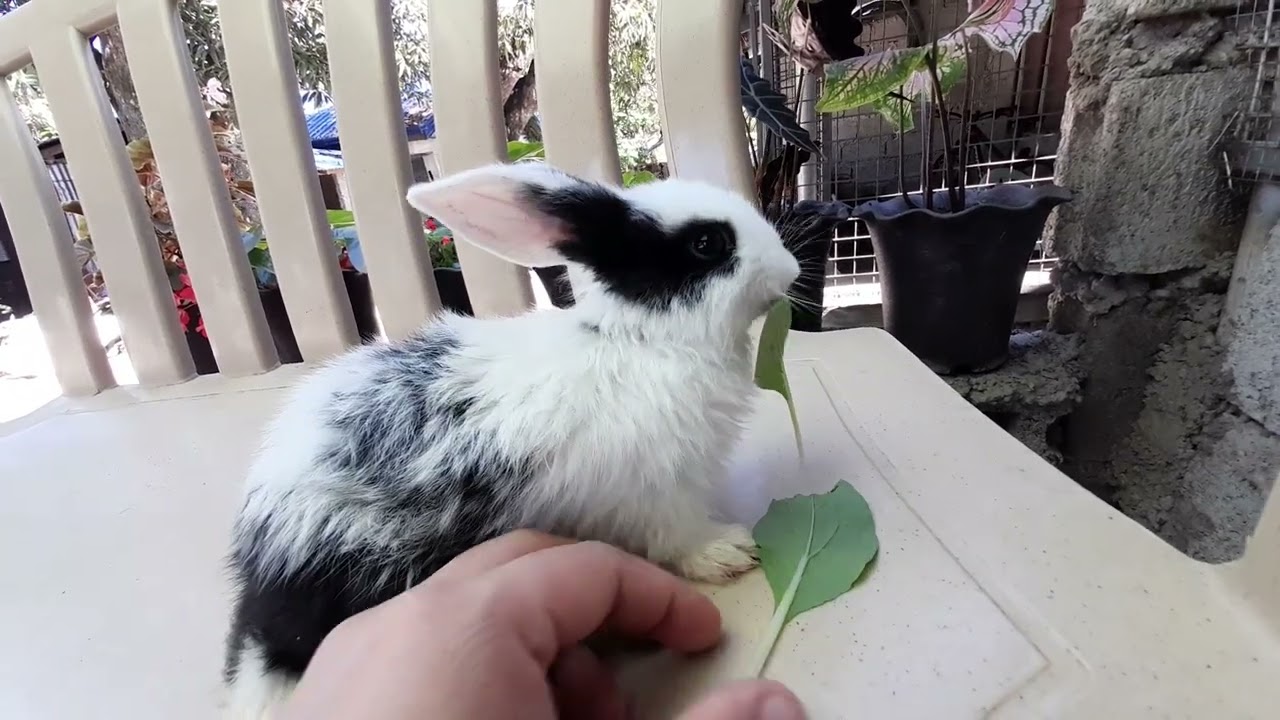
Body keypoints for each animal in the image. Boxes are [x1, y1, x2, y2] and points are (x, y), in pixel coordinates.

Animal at [221, 162, 801, 718]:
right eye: (707, 244)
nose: (791, 269)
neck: (641, 340)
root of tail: (262, 573)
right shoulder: (654, 492)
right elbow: (678, 537)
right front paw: (729, 551)